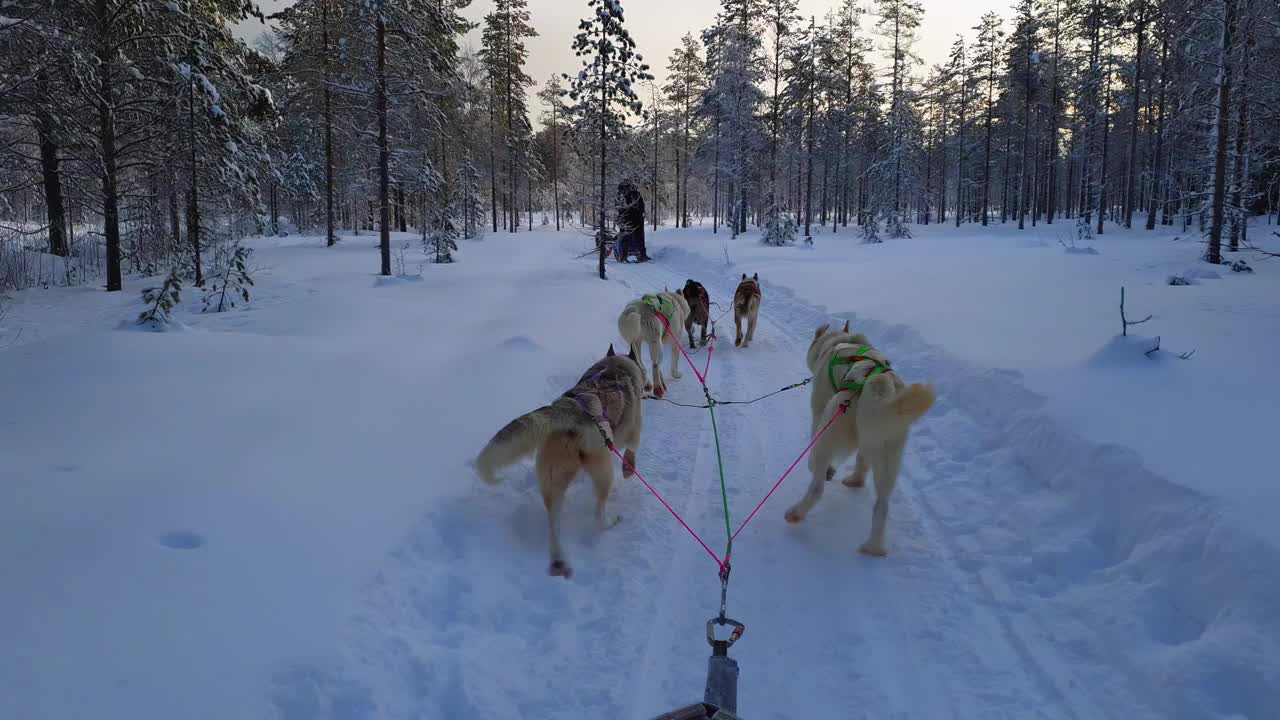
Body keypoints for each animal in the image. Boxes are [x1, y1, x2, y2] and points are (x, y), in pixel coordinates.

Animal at [476, 343, 645, 576]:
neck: (614, 367)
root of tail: (567, 410)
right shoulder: (634, 430)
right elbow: (632, 450)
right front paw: (629, 469)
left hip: (553, 479)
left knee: (553, 522)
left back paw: (558, 561)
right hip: (602, 470)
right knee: (598, 510)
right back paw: (609, 521)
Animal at [778, 325, 942, 556]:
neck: (842, 341)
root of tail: (879, 384)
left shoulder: (819, 408)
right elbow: (862, 460)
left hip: (832, 419)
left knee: (818, 485)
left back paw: (797, 511)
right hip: (887, 453)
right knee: (882, 504)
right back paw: (873, 543)